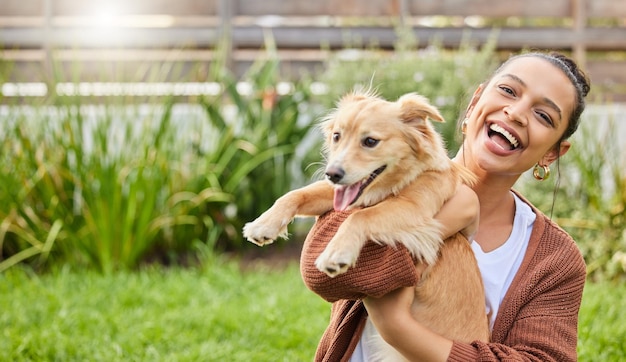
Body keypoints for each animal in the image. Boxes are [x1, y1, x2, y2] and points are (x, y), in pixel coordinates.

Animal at [241, 90, 490, 356]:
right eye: (337, 136)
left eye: (370, 141)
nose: (332, 174)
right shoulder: (343, 194)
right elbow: (296, 194)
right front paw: (263, 224)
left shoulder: (414, 208)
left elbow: (359, 216)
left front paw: (336, 253)